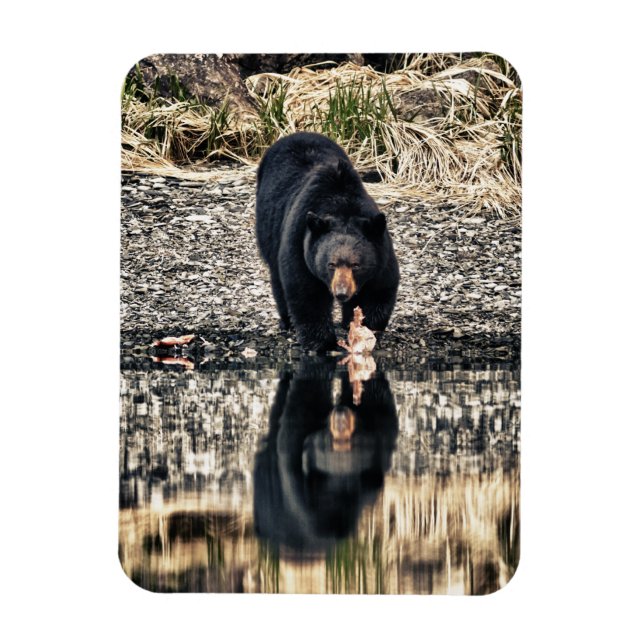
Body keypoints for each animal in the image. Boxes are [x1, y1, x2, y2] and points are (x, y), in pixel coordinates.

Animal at [255, 132, 399, 352]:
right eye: (330, 264)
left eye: (356, 265)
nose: (341, 293)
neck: (342, 204)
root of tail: (297, 134)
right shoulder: (301, 242)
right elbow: (307, 294)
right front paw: (323, 343)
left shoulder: (380, 250)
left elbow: (378, 290)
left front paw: (364, 332)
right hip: (268, 228)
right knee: (277, 275)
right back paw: (287, 321)